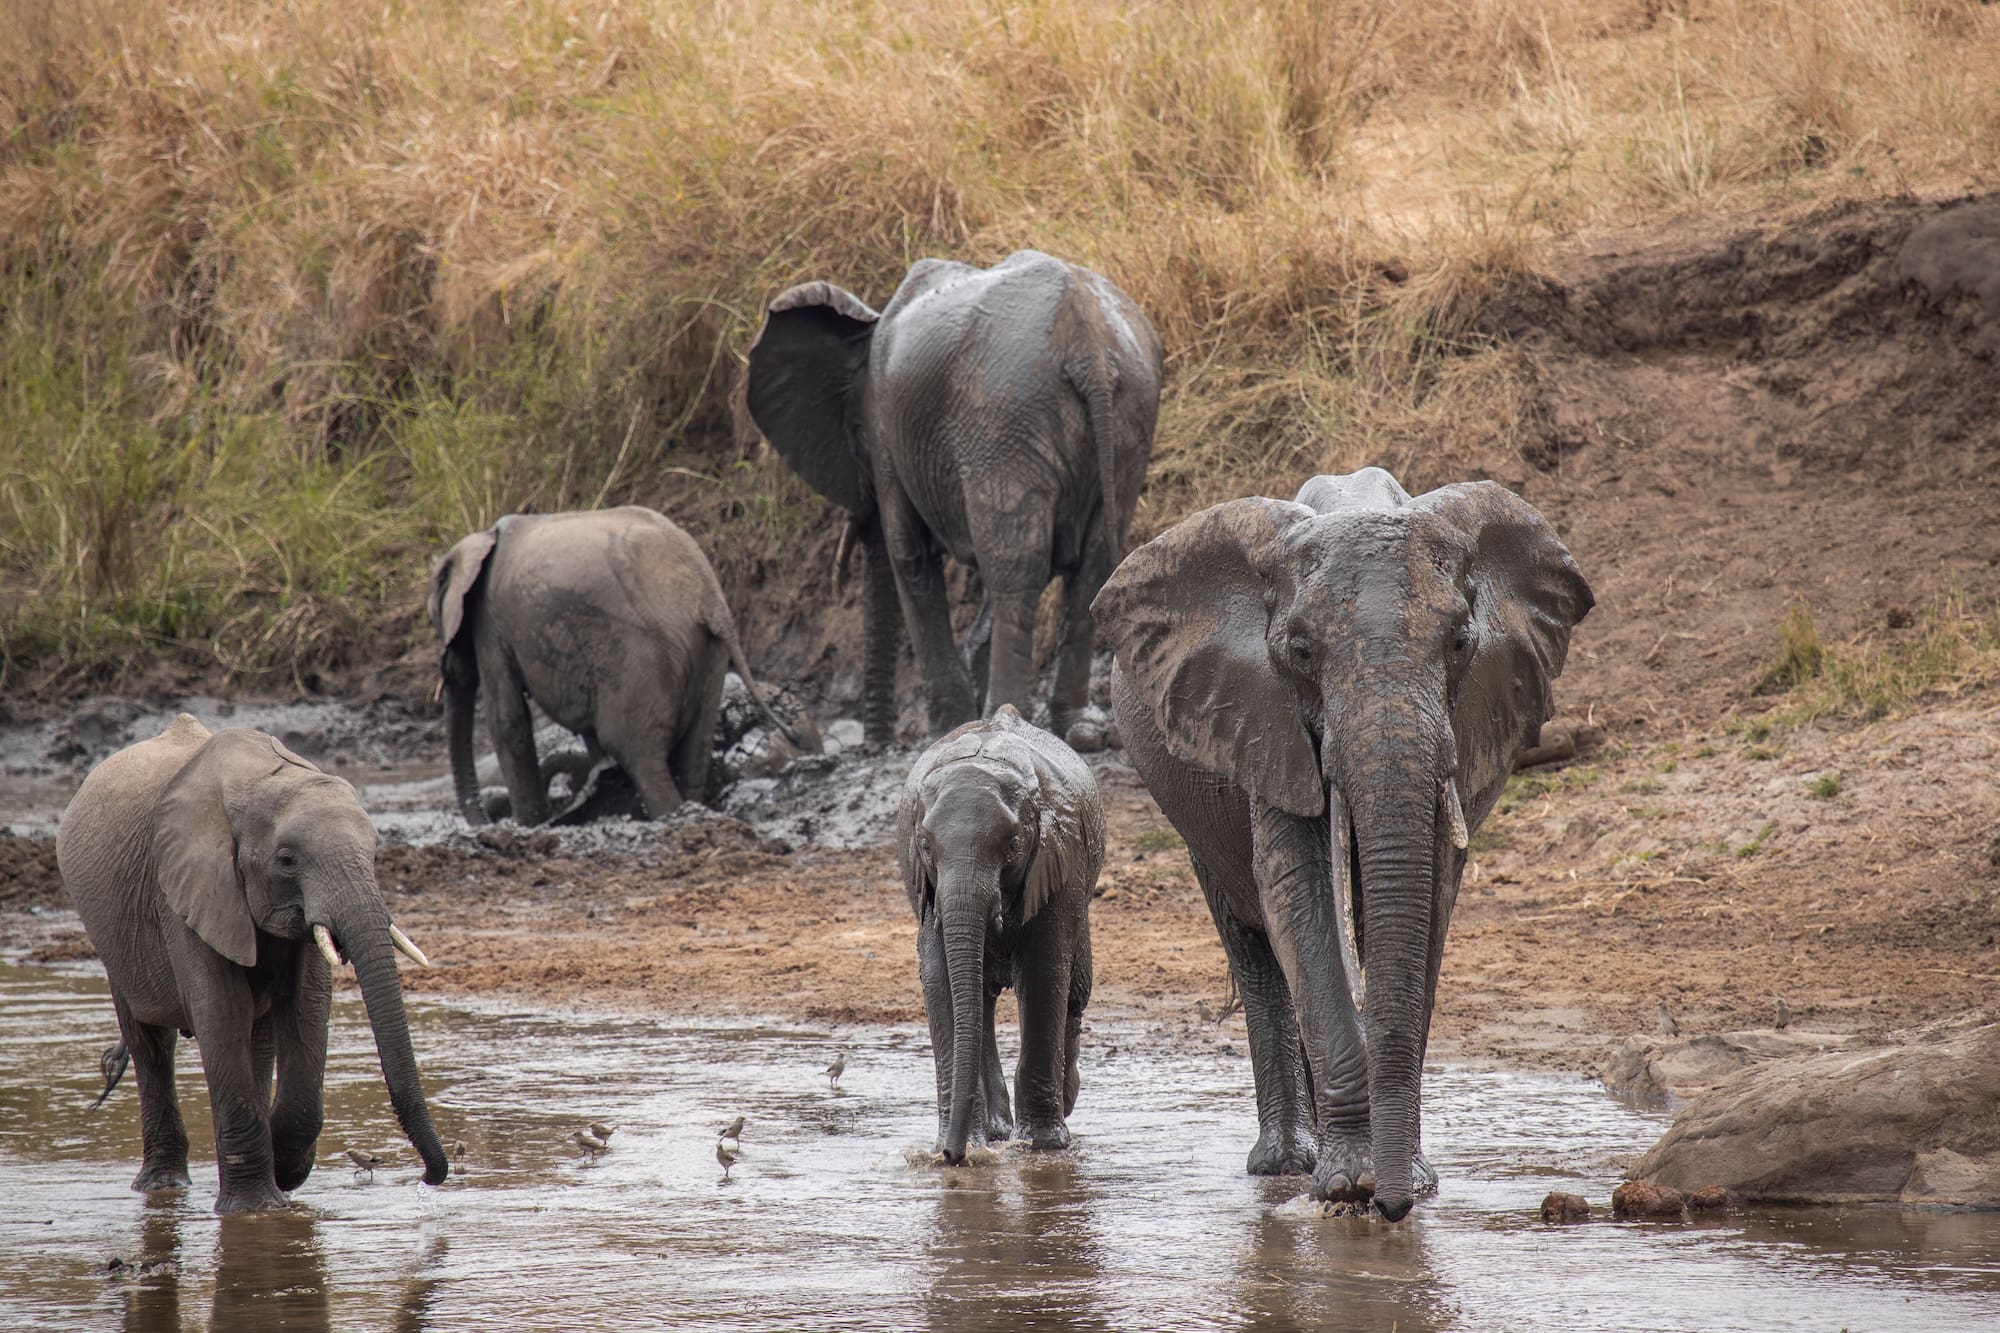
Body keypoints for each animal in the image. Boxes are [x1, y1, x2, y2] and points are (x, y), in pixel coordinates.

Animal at [55, 714, 448, 1213]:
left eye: (375, 854)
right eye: (286, 860)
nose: (428, 1178)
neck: (263, 780)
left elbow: (305, 1008)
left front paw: (283, 1172)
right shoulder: (185, 888)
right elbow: (221, 1012)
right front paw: (255, 1210)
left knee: (256, 1041)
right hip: (114, 942)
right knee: (151, 1043)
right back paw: (163, 1186)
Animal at [429, 505, 815, 827]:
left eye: (434, 621)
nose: (487, 821)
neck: (482, 537)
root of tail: (709, 596)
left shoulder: (490, 622)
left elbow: (508, 721)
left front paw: (529, 827)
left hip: (639, 655)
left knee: (635, 752)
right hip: (709, 653)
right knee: (693, 750)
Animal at [746, 249, 1164, 745]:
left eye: (854, 436)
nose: (876, 745)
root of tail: (1088, 346)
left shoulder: (886, 434)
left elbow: (909, 556)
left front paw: (947, 726)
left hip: (1003, 418)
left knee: (1014, 568)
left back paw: (1003, 717)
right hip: (1127, 418)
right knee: (1092, 564)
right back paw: (1080, 730)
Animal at [896, 704, 1104, 1163]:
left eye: (1012, 846)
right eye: (924, 846)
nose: (952, 1157)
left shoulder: (1058, 861)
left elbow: (1044, 972)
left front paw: (1043, 1146)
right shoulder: (928, 892)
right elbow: (939, 978)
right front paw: (964, 1147)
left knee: (1075, 992)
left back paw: (1061, 1105)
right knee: (981, 998)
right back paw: (994, 1132)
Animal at [1092, 468, 1592, 1221]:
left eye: (1460, 643)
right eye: (1300, 652)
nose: (1393, 1209)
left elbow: (1429, 896)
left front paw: (1408, 1181)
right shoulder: (1260, 717)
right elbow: (1297, 893)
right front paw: (1349, 1186)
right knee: (1254, 946)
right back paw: (1284, 1164)